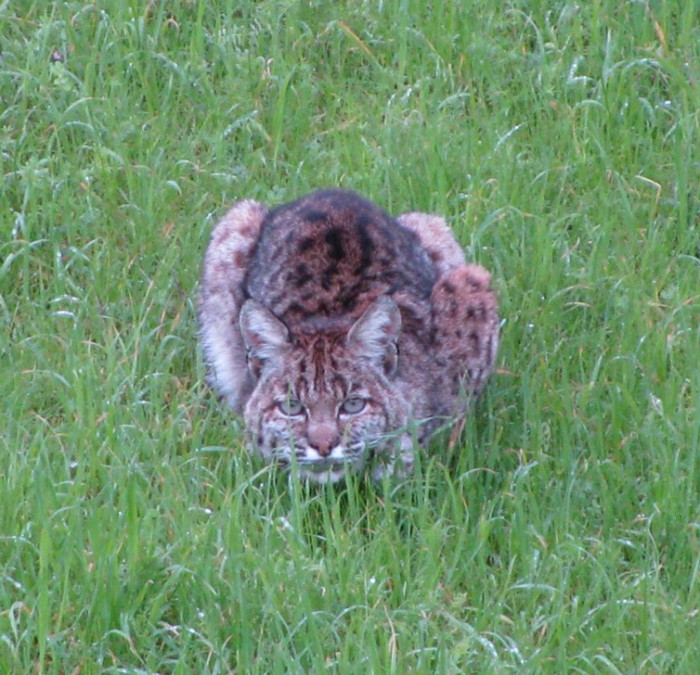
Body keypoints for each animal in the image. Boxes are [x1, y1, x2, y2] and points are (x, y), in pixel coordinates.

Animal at [198, 190, 498, 484]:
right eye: (291, 407)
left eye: (353, 405)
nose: (323, 447)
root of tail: (329, 193)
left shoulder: (473, 296)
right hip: (234, 227)